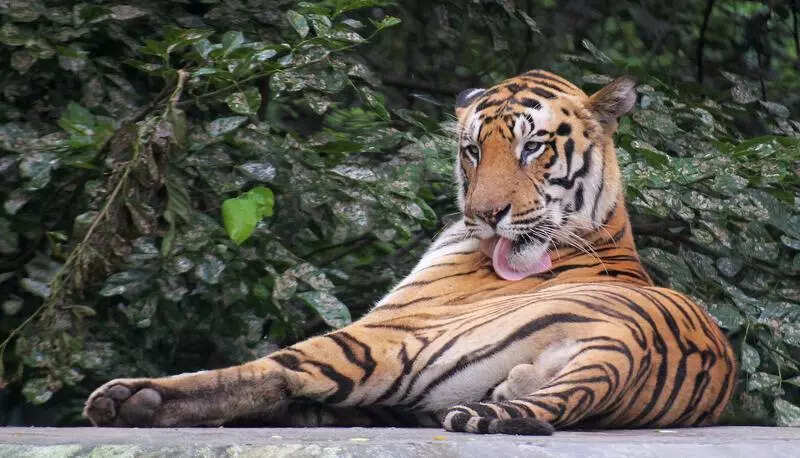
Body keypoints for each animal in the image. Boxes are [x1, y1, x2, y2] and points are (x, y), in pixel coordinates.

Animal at [84, 70, 736, 435]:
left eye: (533, 148)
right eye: (473, 150)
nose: (486, 214)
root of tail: (628, 350)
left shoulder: (391, 325)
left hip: (380, 344)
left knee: (266, 371)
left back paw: (128, 400)